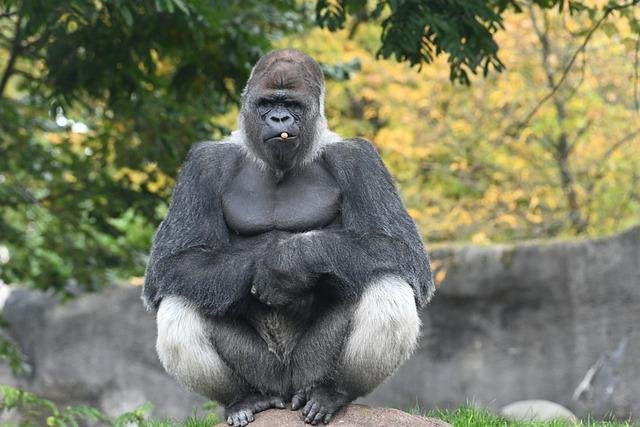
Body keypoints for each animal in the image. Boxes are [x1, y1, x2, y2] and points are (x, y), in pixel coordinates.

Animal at [143, 49, 434, 426]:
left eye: (292, 106)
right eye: (267, 103)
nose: (279, 118)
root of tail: (284, 392)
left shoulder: (359, 158)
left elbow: (400, 248)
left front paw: (287, 262)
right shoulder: (204, 164)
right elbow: (174, 262)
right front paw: (272, 260)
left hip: (307, 370)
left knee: (387, 282)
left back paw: (332, 392)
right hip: (266, 374)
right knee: (181, 298)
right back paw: (243, 399)